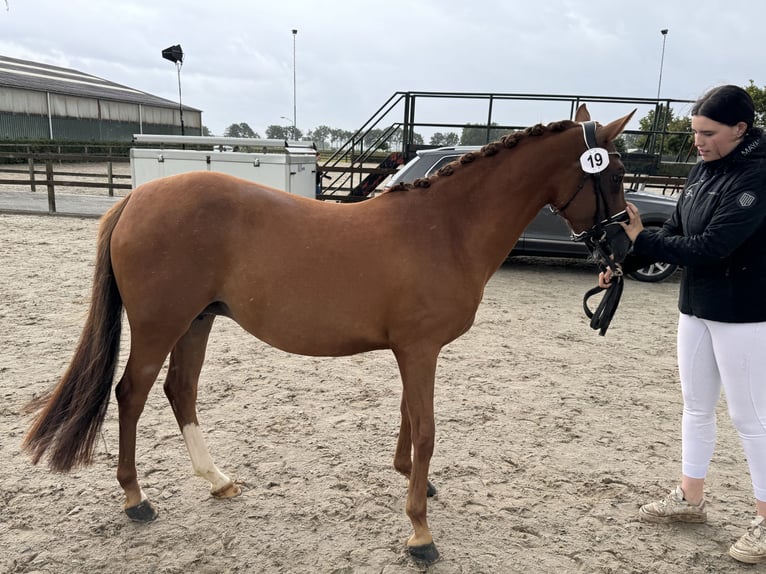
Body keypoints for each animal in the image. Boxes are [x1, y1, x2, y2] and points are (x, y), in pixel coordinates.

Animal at [24, 104, 636, 568]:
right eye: (610, 174)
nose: (626, 243)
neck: (445, 227)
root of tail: (135, 199)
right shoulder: (420, 350)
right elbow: (427, 430)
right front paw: (420, 533)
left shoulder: (411, 350)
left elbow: (409, 418)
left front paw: (413, 482)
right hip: (161, 325)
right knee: (132, 394)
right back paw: (136, 498)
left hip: (198, 321)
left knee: (182, 391)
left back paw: (217, 480)